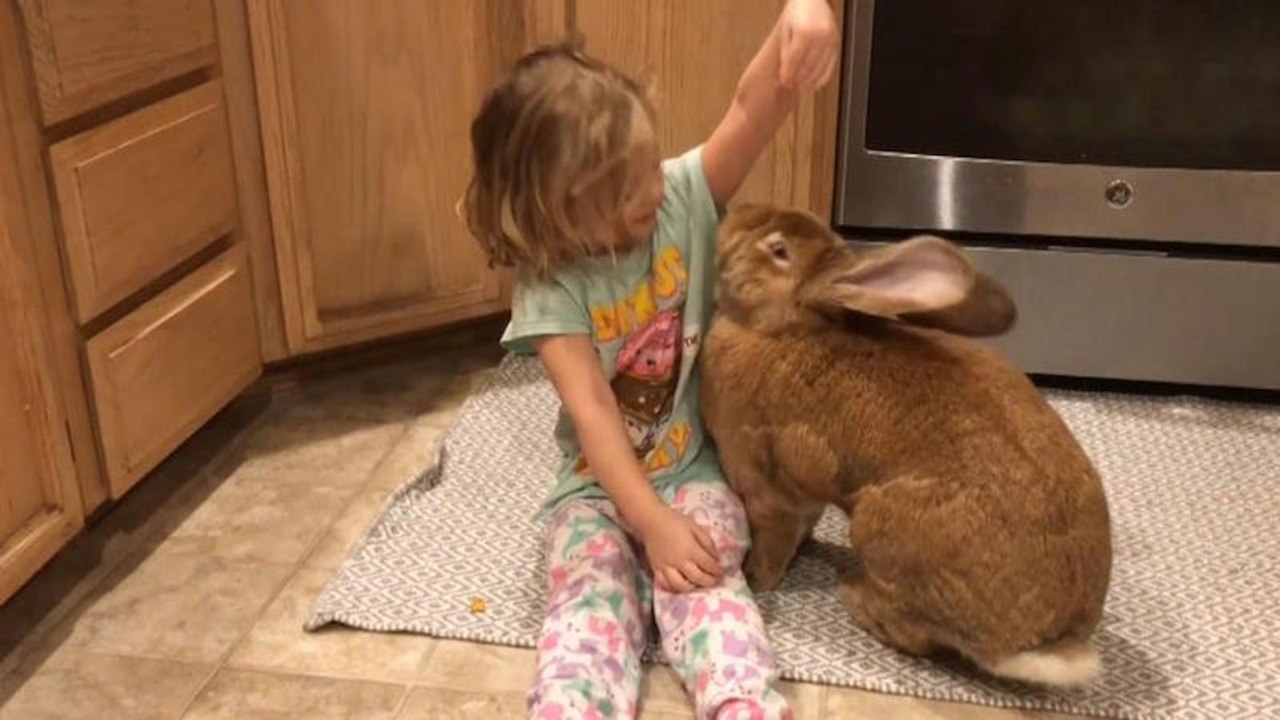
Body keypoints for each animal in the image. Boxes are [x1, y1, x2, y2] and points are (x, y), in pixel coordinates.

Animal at [699, 203, 1112, 687]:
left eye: (778, 249)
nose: (734, 211)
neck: (785, 327)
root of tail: (1049, 642)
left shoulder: (769, 490)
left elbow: (774, 541)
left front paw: (756, 581)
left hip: (880, 531)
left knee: (913, 635)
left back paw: (853, 593)